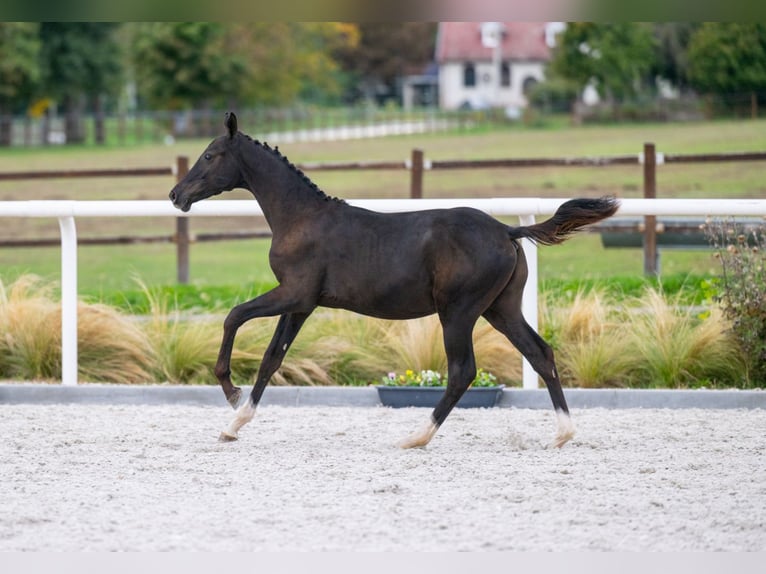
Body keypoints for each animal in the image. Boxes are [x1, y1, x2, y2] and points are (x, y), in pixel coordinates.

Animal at [171, 112, 620, 450]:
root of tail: (506, 231)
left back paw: (415, 437)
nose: (177, 195)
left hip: (458, 312)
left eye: (209, 155)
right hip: (500, 308)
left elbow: (234, 315)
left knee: (463, 371)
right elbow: (271, 358)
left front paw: (229, 391)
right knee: (540, 353)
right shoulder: (301, 304)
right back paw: (562, 434)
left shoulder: (294, 293)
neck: (301, 218)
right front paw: (234, 424)